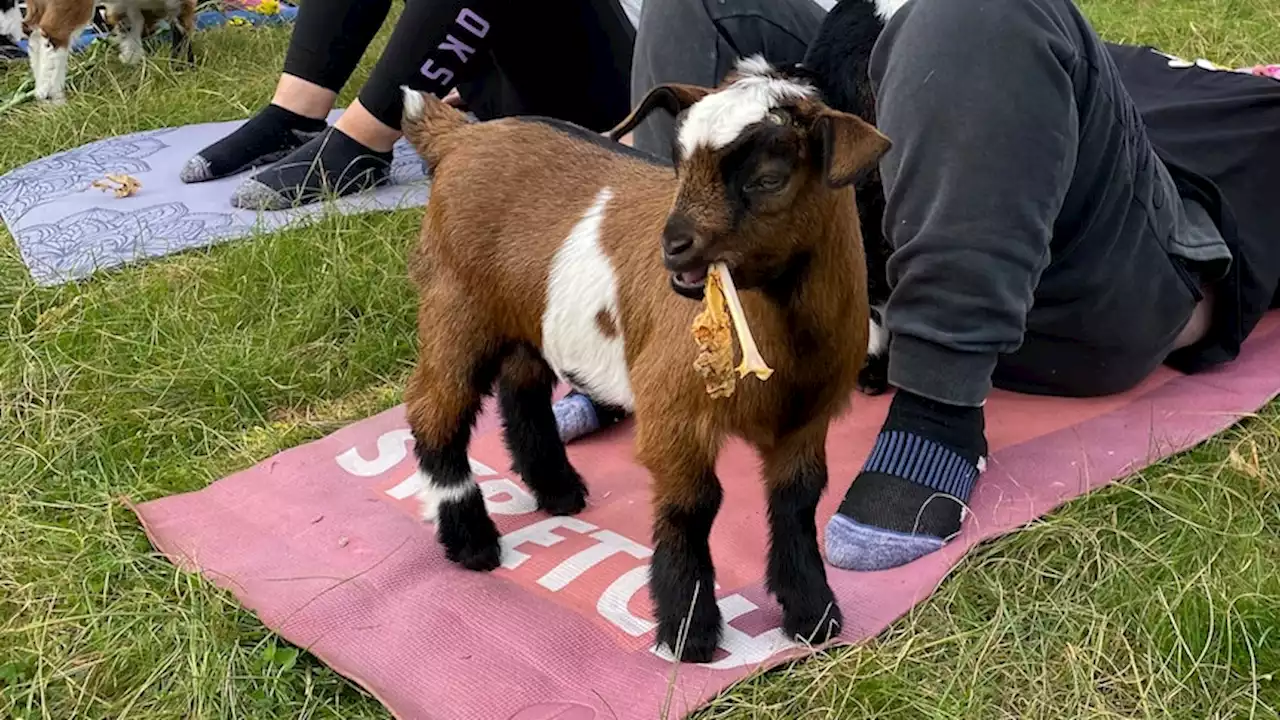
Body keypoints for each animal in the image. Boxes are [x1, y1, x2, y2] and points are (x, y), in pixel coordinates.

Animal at [23, 0, 194, 102]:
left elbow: (131, 23)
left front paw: (130, 60)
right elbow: (182, 26)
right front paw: (183, 69)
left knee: (34, 34)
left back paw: (40, 92)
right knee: (53, 35)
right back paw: (52, 95)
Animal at [399, 57, 890, 661]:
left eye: (769, 179)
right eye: (678, 165)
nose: (672, 246)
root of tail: (461, 136)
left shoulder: (805, 417)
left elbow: (798, 502)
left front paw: (812, 613)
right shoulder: (674, 412)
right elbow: (691, 507)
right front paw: (689, 630)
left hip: (525, 315)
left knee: (521, 389)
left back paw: (557, 491)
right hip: (455, 303)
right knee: (435, 410)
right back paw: (472, 542)